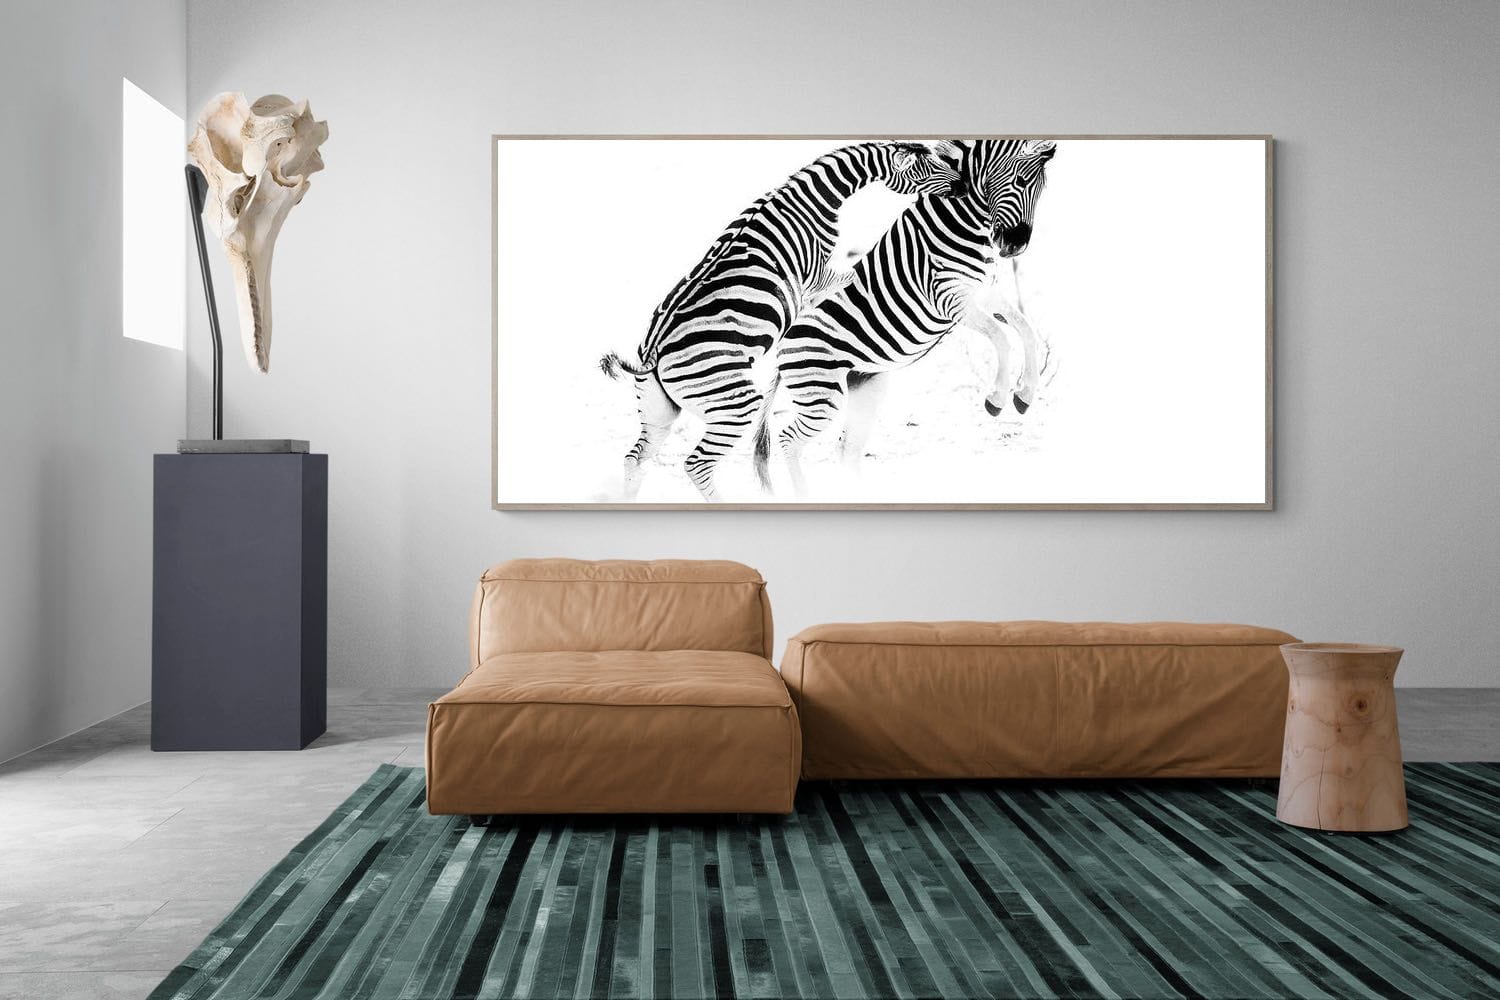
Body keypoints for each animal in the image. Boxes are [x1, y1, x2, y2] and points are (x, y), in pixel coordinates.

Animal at [599, 140, 964, 502]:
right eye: (928, 169)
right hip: (736, 403)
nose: (961, 185)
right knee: (697, 464)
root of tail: (654, 354)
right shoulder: (815, 280)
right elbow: (849, 279)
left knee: (636, 459)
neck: (812, 200)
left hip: (658, 412)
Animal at [751, 139, 1057, 497]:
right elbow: (1001, 336)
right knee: (789, 439)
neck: (958, 220)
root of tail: (780, 345)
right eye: (1021, 182)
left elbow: (1025, 329)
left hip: (866, 387)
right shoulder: (949, 298)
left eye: (1042, 190)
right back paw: (806, 495)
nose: (1015, 246)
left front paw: (1024, 394)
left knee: (846, 449)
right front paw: (996, 398)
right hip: (822, 392)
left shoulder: (984, 291)